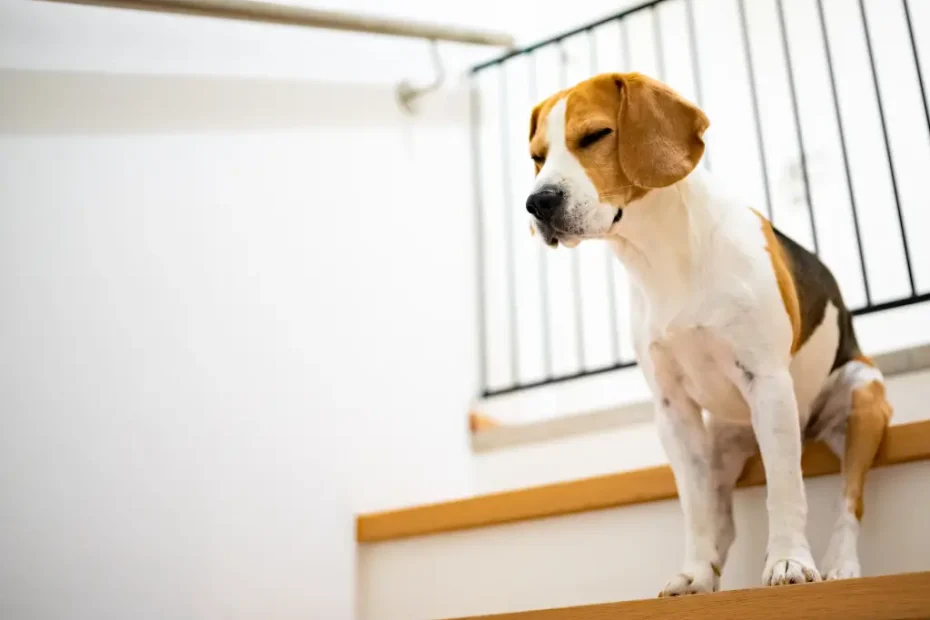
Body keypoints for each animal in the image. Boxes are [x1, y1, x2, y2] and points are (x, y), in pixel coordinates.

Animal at [524, 74, 888, 596]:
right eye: (537, 155)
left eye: (594, 135)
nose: (537, 203)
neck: (661, 255)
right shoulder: (673, 410)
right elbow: (695, 509)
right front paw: (695, 573)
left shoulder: (768, 382)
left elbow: (786, 489)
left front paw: (789, 562)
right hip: (720, 443)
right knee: (723, 522)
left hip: (862, 394)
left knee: (849, 500)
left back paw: (841, 566)